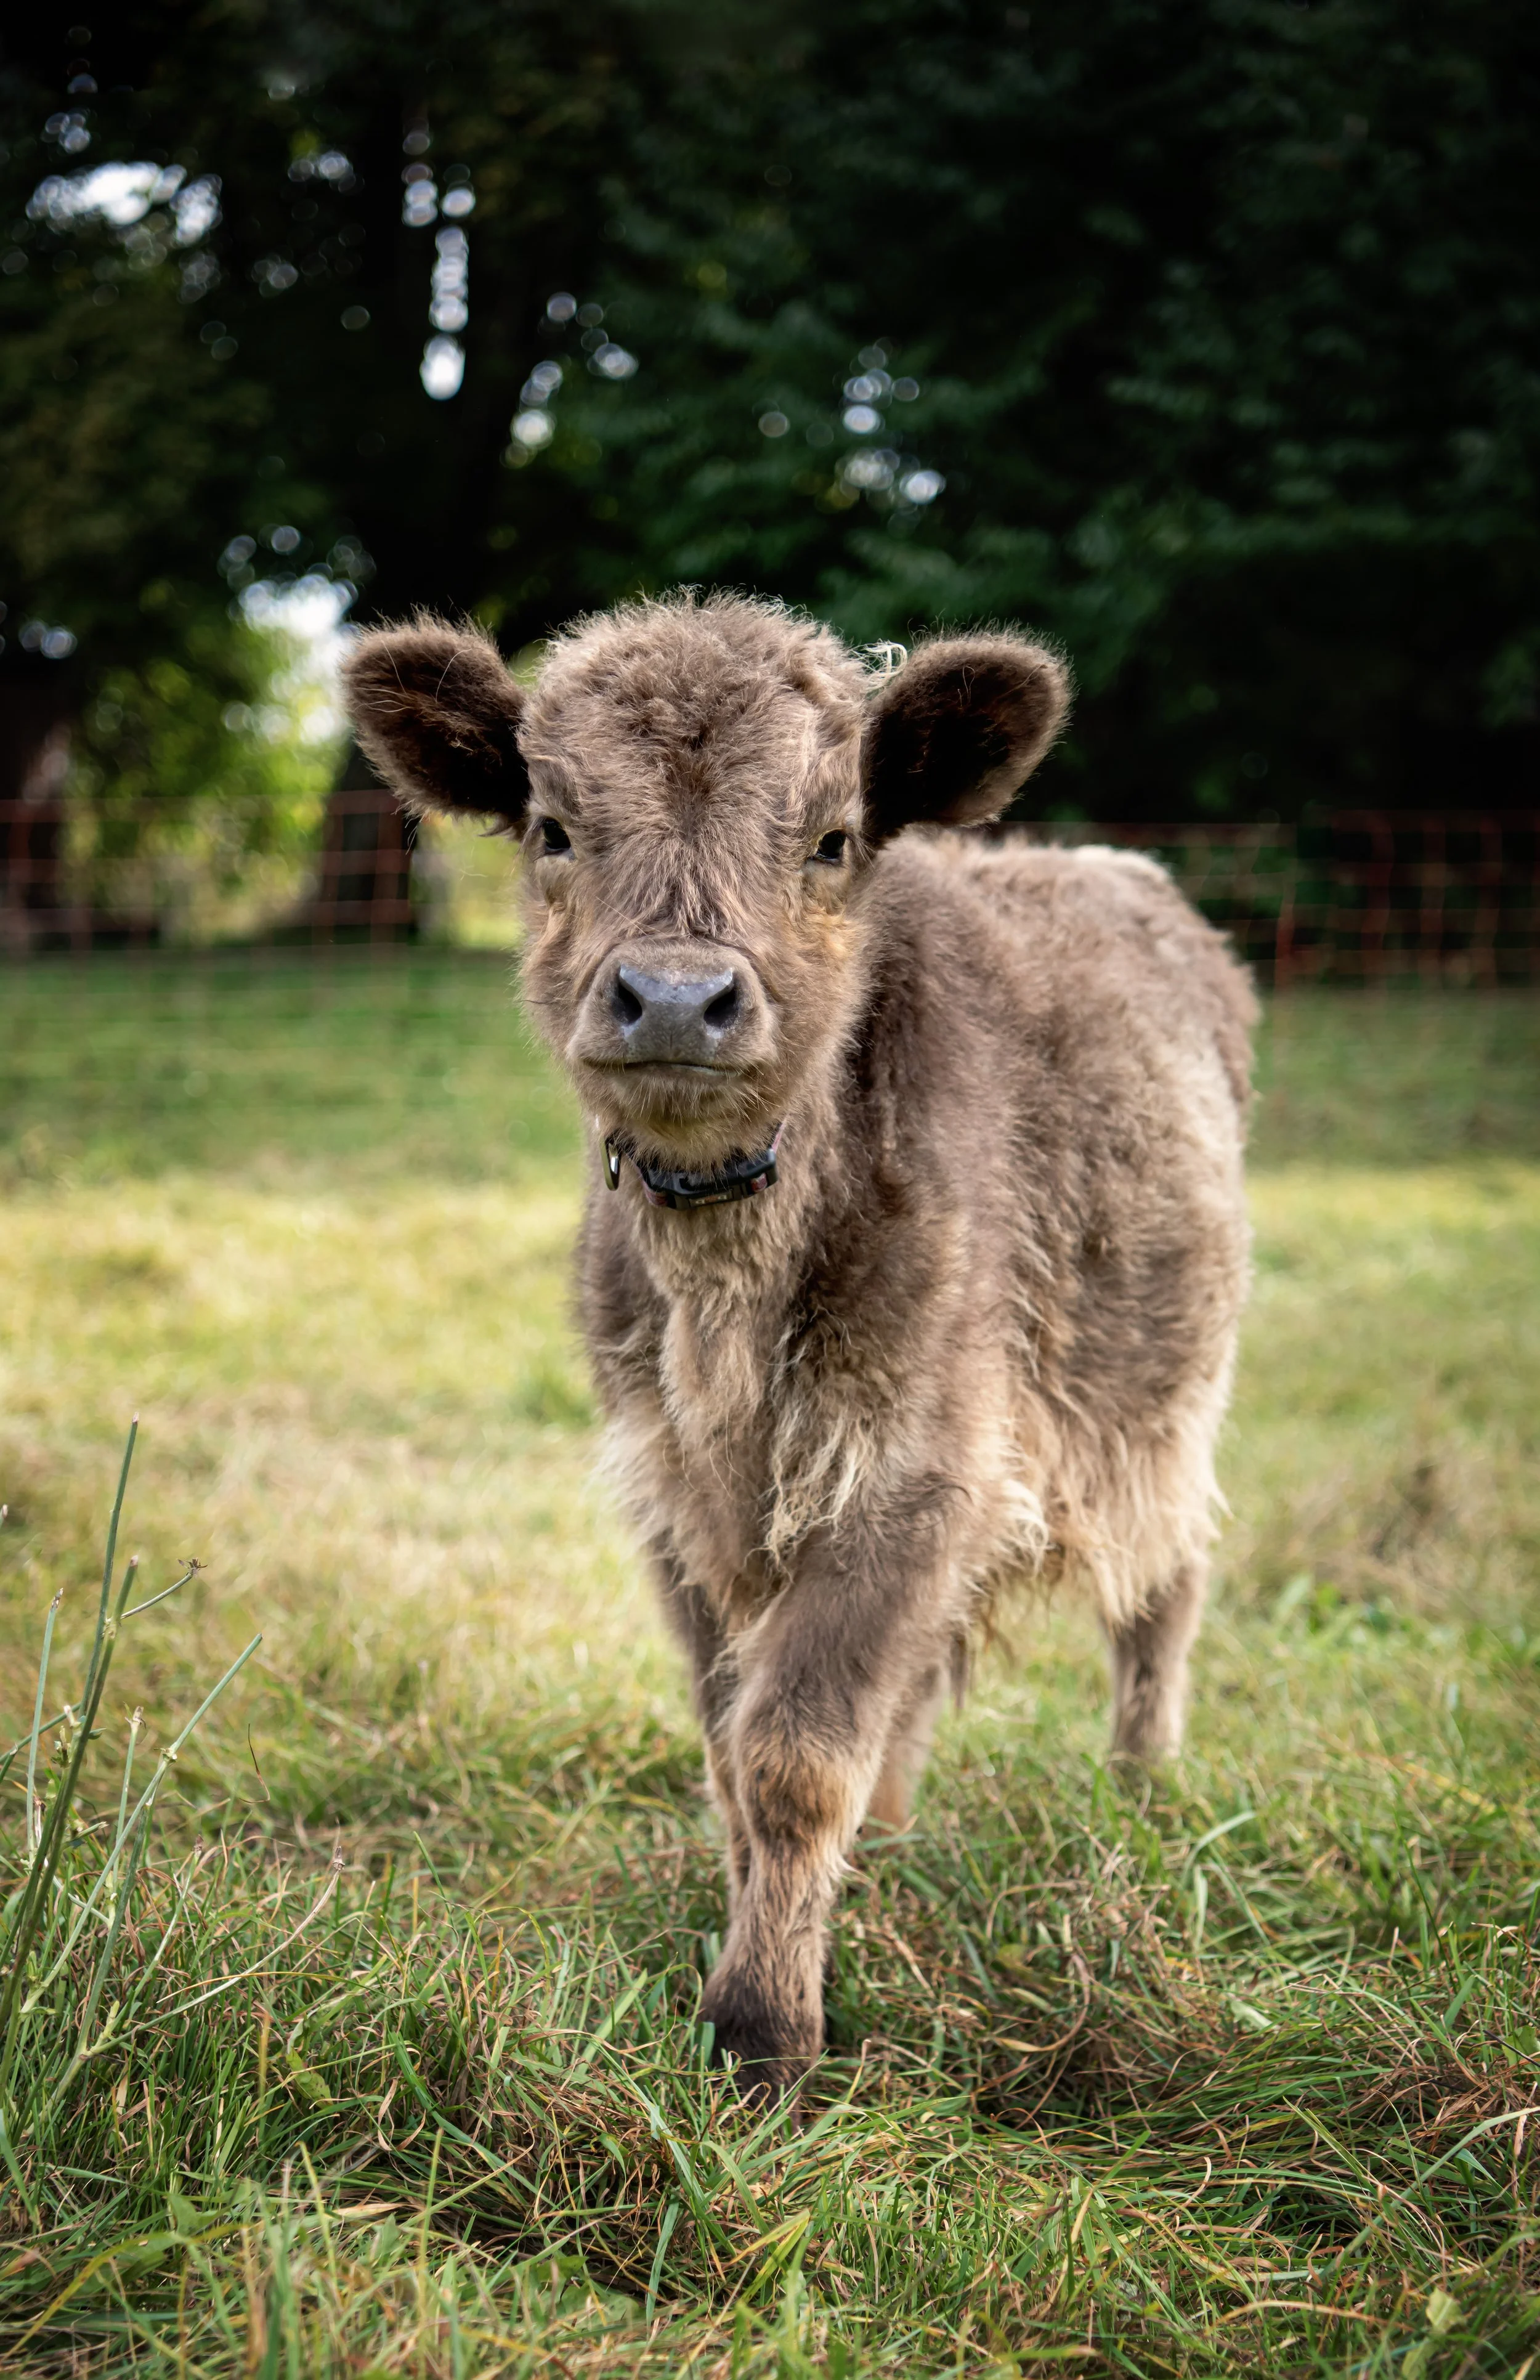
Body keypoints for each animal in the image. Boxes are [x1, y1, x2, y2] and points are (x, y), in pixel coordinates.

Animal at [344, 591, 1255, 2102]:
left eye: (829, 837)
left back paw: (1143, 1785)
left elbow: (795, 1752)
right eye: (553, 825)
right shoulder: (677, 1498)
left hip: (1168, 1402)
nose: (672, 997)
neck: (728, 1294)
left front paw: (763, 2026)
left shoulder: (914, 1465)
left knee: (1163, 1586)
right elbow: (737, 1746)